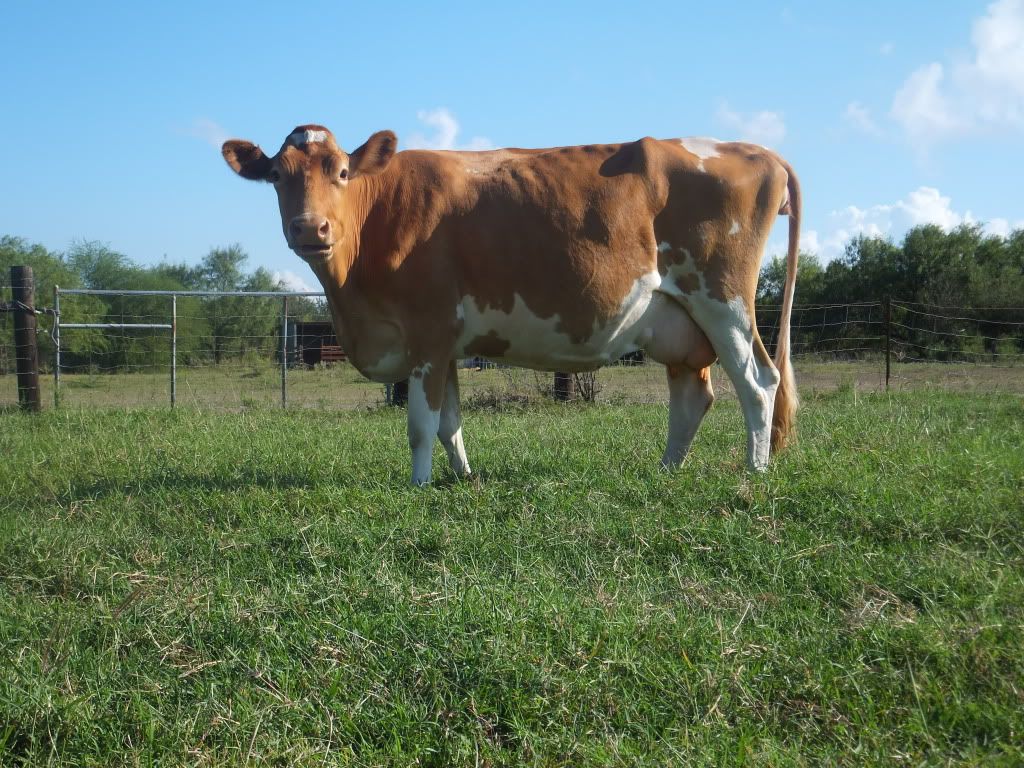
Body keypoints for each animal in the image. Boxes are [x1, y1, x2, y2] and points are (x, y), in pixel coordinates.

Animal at [222, 125, 801, 485]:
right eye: (276, 176)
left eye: (341, 172)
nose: (310, 228)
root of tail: (760, 152)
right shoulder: (446, 345)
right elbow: (450, 422)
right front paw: (463, 479)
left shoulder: (427, 332)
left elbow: (420, 425)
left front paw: (417, 485)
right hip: (678, 323)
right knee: (692, 397)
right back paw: (666, 471)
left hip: (723, 302)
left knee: (758, 384)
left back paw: (754, 472)